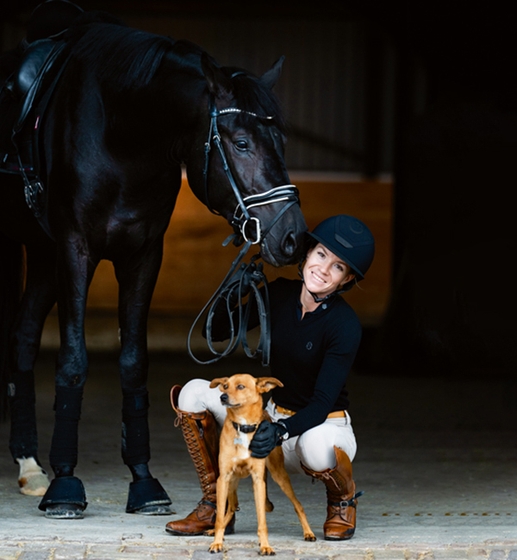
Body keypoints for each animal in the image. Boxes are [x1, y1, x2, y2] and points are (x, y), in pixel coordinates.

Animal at [0, 4, 306, 520]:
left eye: (280, 142)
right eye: (241, 142)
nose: (292, 237)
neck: (120, 131)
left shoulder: (143, 254)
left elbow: (133, 363)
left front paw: (143, 481)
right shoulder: (75, 248)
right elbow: (73, 361)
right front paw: (65, 485)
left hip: (42, 256)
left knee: (21, 337)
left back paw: (29, 466)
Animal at [207, 374, 314, 552]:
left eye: (240, 386)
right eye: (225, 386)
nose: (223, 397)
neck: (243, 426)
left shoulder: (258, 480)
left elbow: (262, 520)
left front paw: (265, 546)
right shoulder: (223, 478)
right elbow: (219, 517)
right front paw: (217, 542)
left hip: (279, 475)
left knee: (298, 505)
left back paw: (309, 533)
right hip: (231, 481)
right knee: (232, 506)